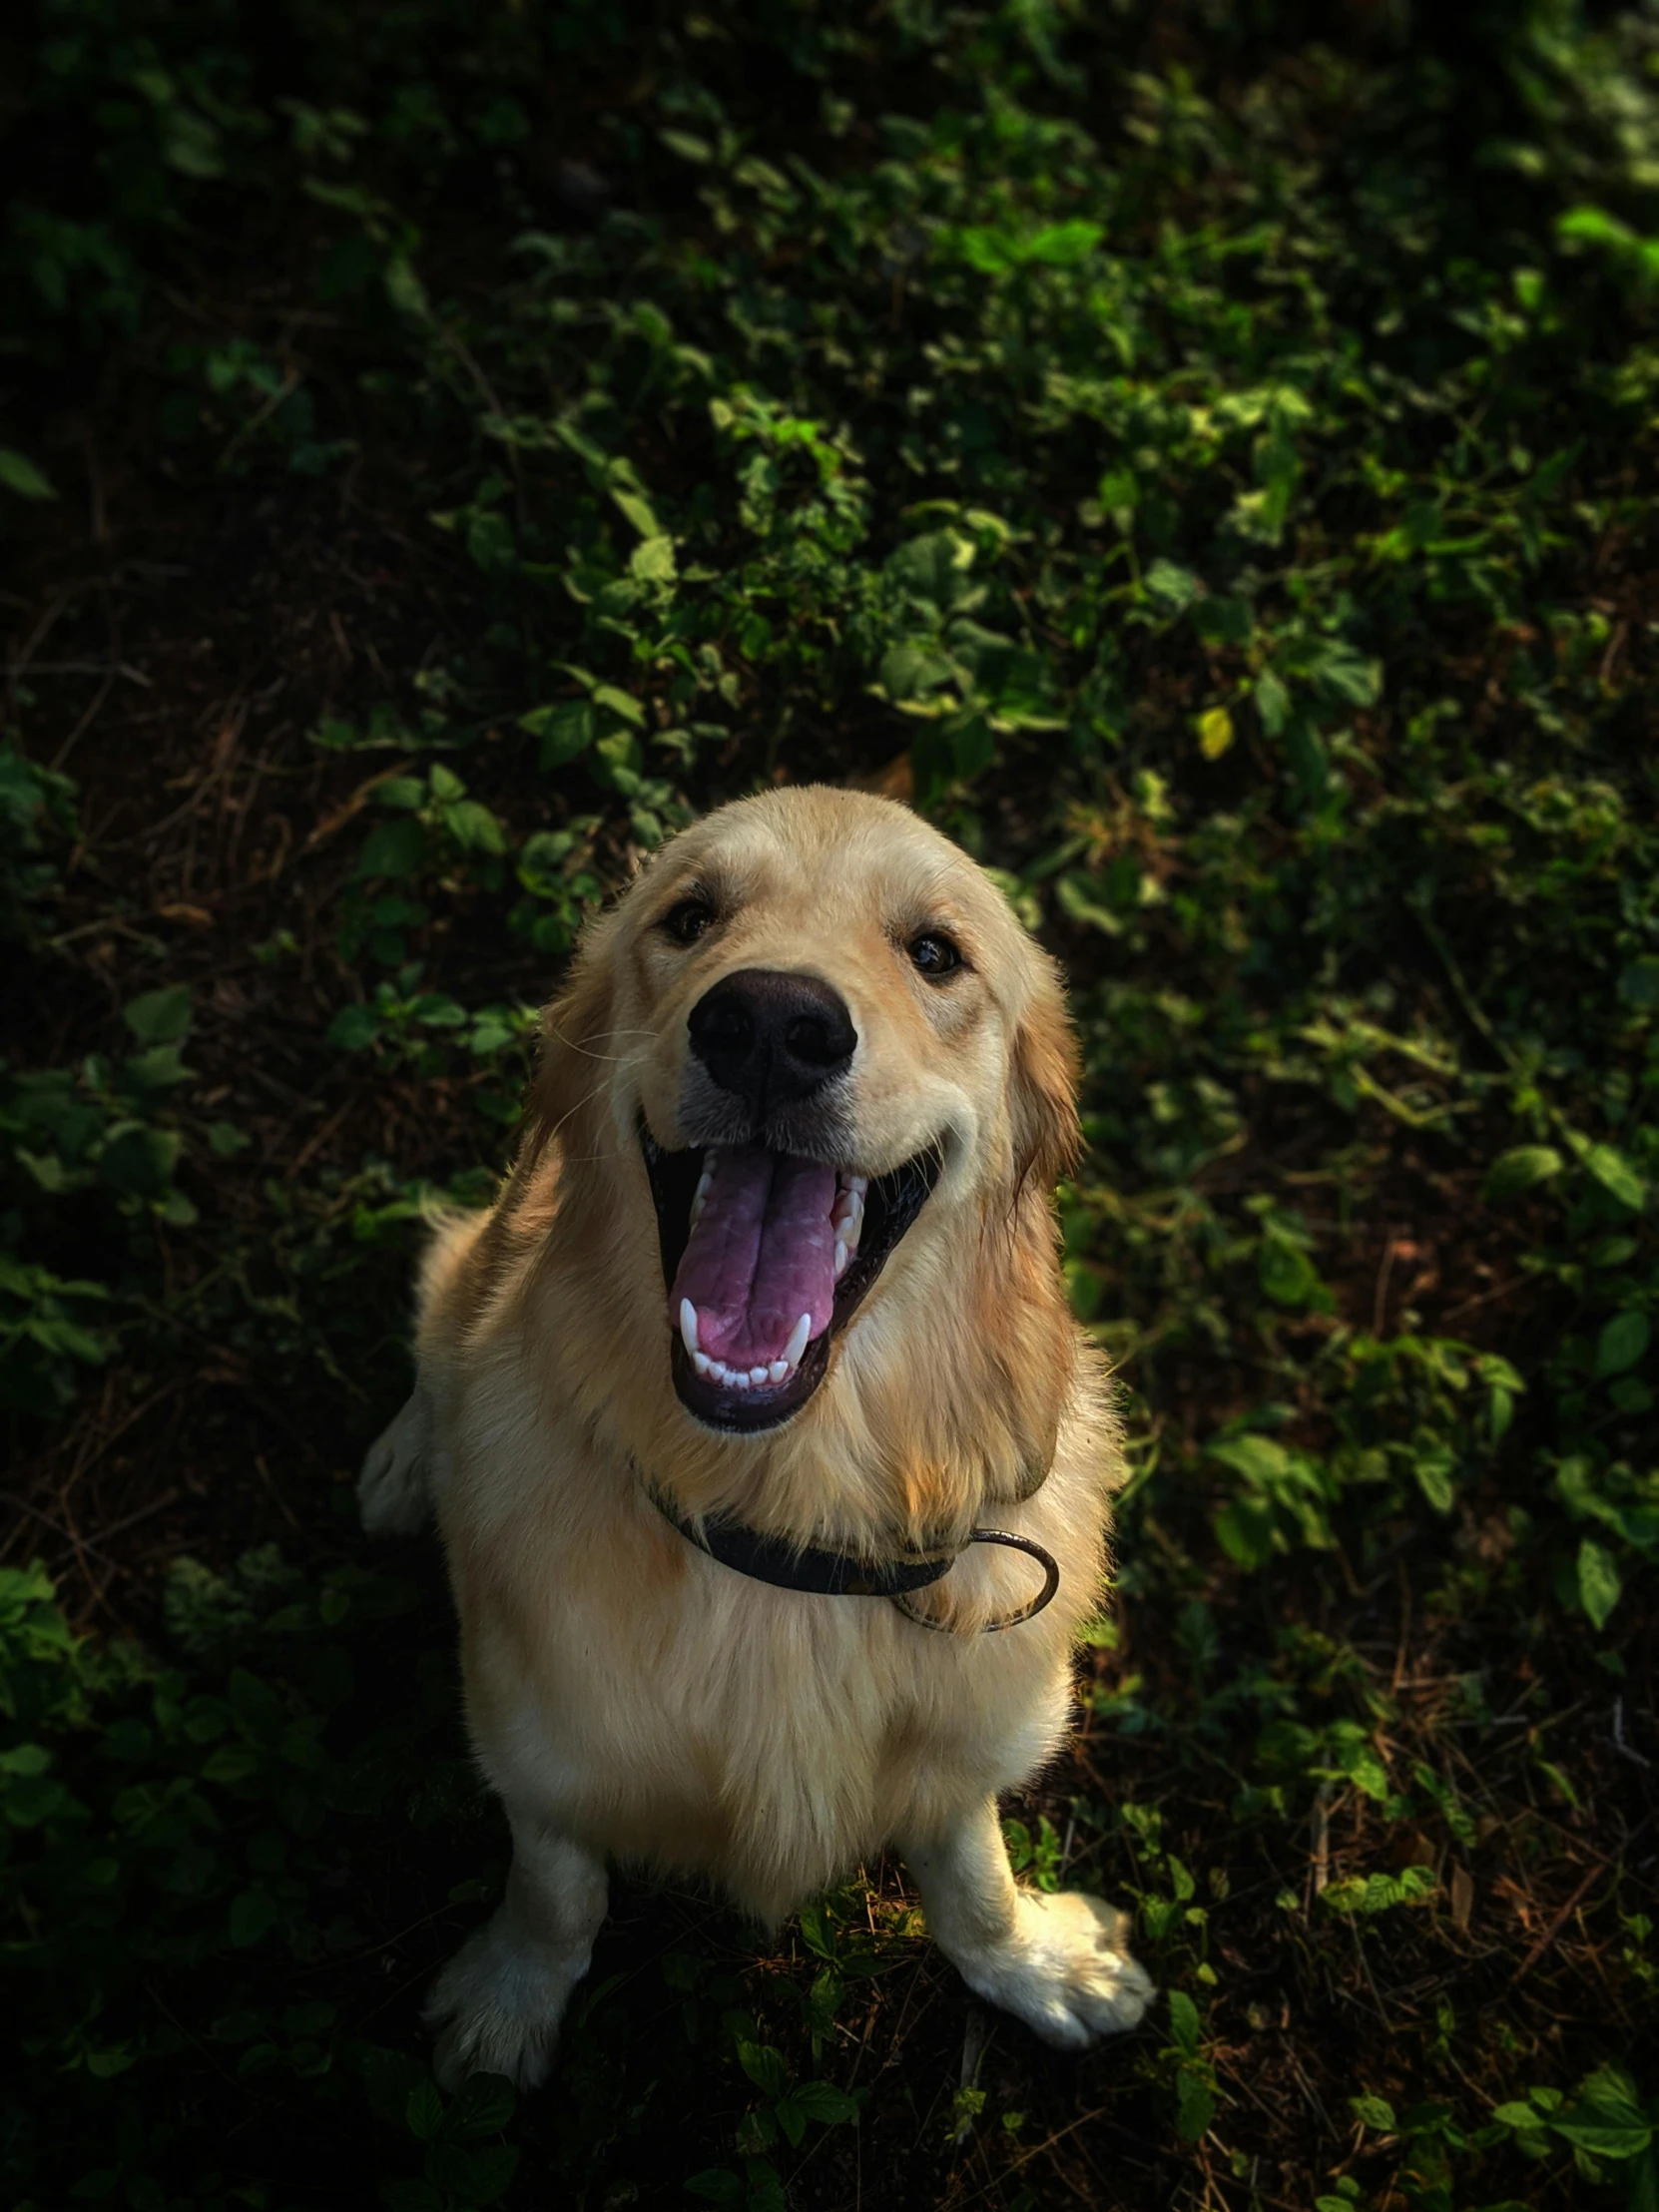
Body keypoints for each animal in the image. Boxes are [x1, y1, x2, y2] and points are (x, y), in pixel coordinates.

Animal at [357, 787, 1159, 2079]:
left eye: (935, 951)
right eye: (690, 916)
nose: (773, 1023)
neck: (784, 1516)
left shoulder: (971, 1733)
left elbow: (971, 1872)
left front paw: (1034, 1963)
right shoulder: (531, 1732)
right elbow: (558, 1885)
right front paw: (510, 1997)